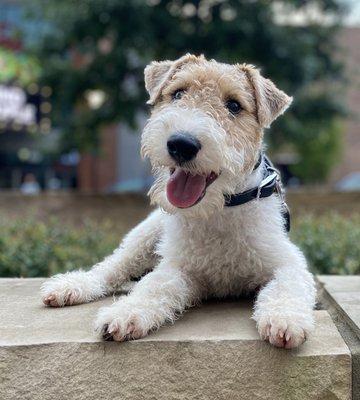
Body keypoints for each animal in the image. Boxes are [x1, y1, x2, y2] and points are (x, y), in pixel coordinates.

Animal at [41, 54, 316, 348]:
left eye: (234, 105)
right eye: (177, 93)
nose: (182, 144)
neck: (218, 212)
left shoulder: (287, 262)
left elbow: (286, 287)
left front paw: (284, 320)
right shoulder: (180, 268)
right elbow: (152, 287)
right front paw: (124, 314)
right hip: (143, 238)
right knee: (110, 268)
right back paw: (70, 287)